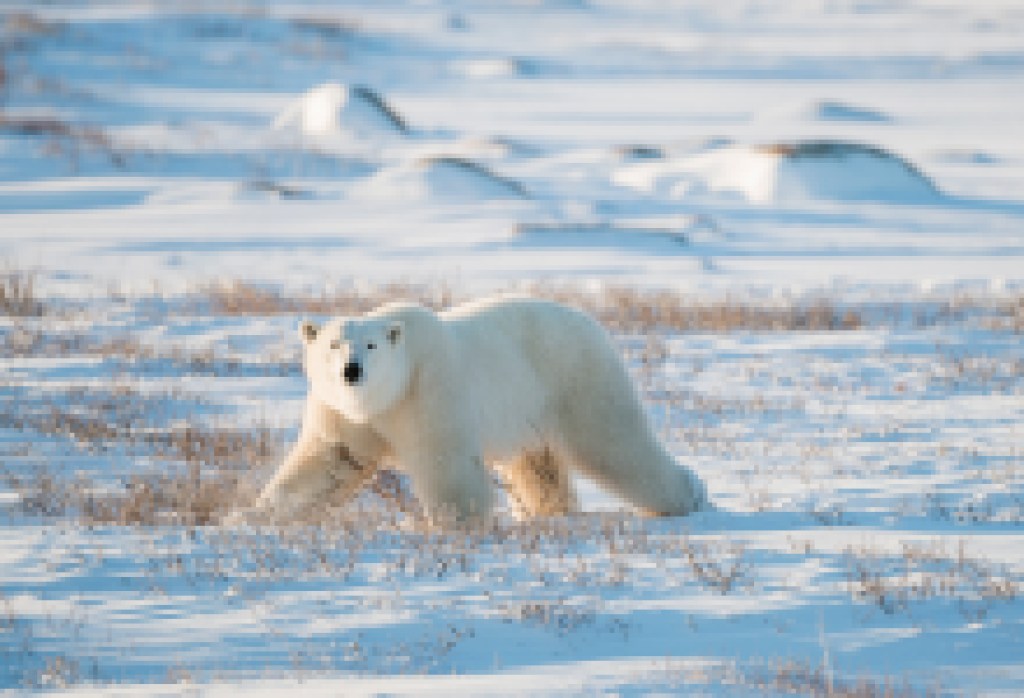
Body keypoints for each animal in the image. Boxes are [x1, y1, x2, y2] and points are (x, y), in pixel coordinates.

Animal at [243, 296, 707, 523]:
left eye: (370, 345)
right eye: (333, 344)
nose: (351, 370)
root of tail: (591, 322)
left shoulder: (429, 390)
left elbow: (444, 462)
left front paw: (450, 522)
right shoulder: (342, 412)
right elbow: (327, 463)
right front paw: (254, 514)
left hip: (575, 379)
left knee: (615, 442)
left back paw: (687, 495)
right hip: (529, 407)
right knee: (537, 465)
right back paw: (549, 511)